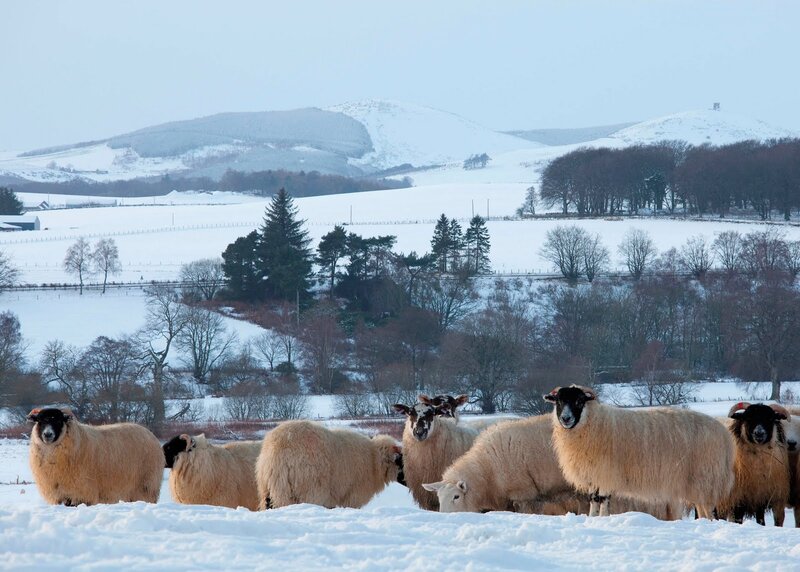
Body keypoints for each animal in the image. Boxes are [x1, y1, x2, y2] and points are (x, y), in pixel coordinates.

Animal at [27, 407, 164, 506]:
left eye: (58, 421)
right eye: (40, 421)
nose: (47, 434)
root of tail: (149, 433)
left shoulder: (81, 492)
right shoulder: (60, 494)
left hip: (146, 486)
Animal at [543, 385, 735, 519]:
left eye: (579, 401)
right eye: (558, 402)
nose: (565, 419)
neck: (594, 423)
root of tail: (724, 434)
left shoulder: (606, 472)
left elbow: (603, 500)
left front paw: (603, 519)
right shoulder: (594, 473)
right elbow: (593, 500)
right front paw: (592, 518)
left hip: (705, 476)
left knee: (708, 509)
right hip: (697, 482)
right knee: (703, 508)